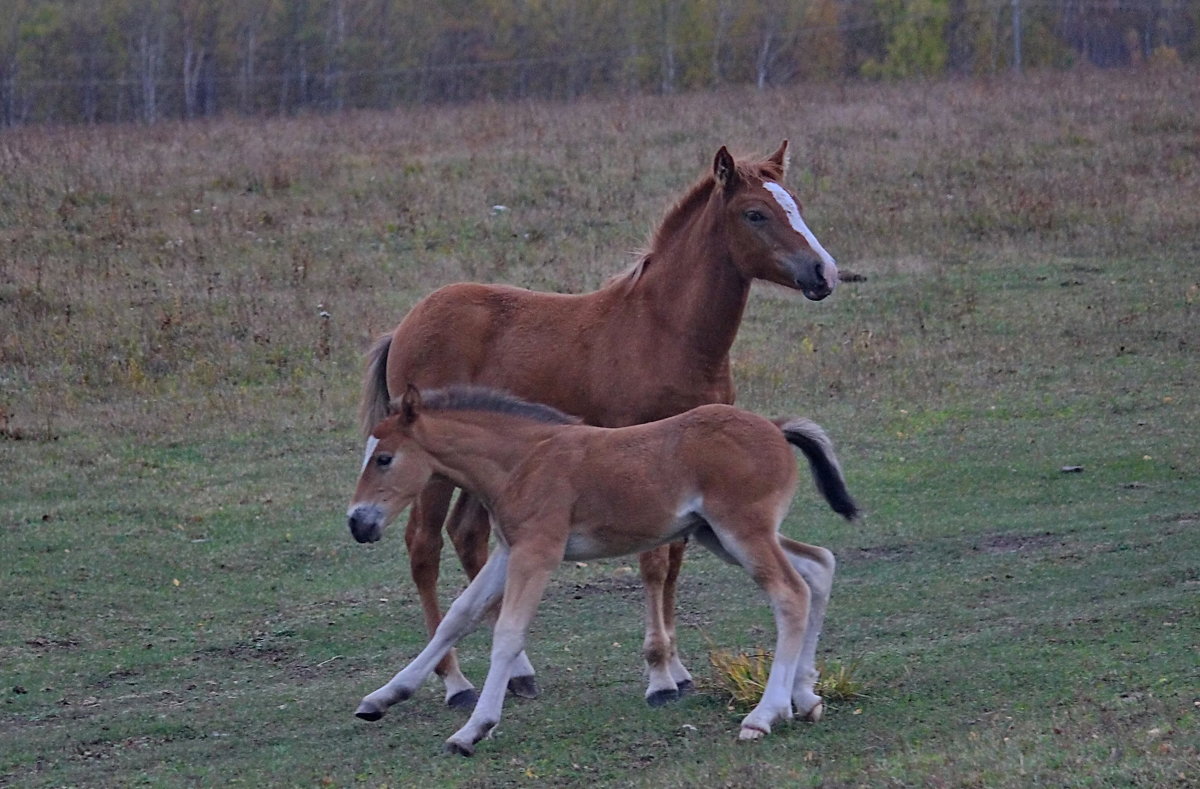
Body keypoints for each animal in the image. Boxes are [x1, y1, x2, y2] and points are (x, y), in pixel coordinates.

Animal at [343, 383, 859, 753]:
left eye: (385, 458)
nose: (357, 522)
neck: (523, 461)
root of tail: (774, 426)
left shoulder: (538, 552)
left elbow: (507, 634)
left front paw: (473, 730)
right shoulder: (510, 550)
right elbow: (457, 618)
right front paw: (382, 698)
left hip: (742, 532)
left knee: (790, 593)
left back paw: (764, 716)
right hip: (721, 535)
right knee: (818, 565)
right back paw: (805, 698)